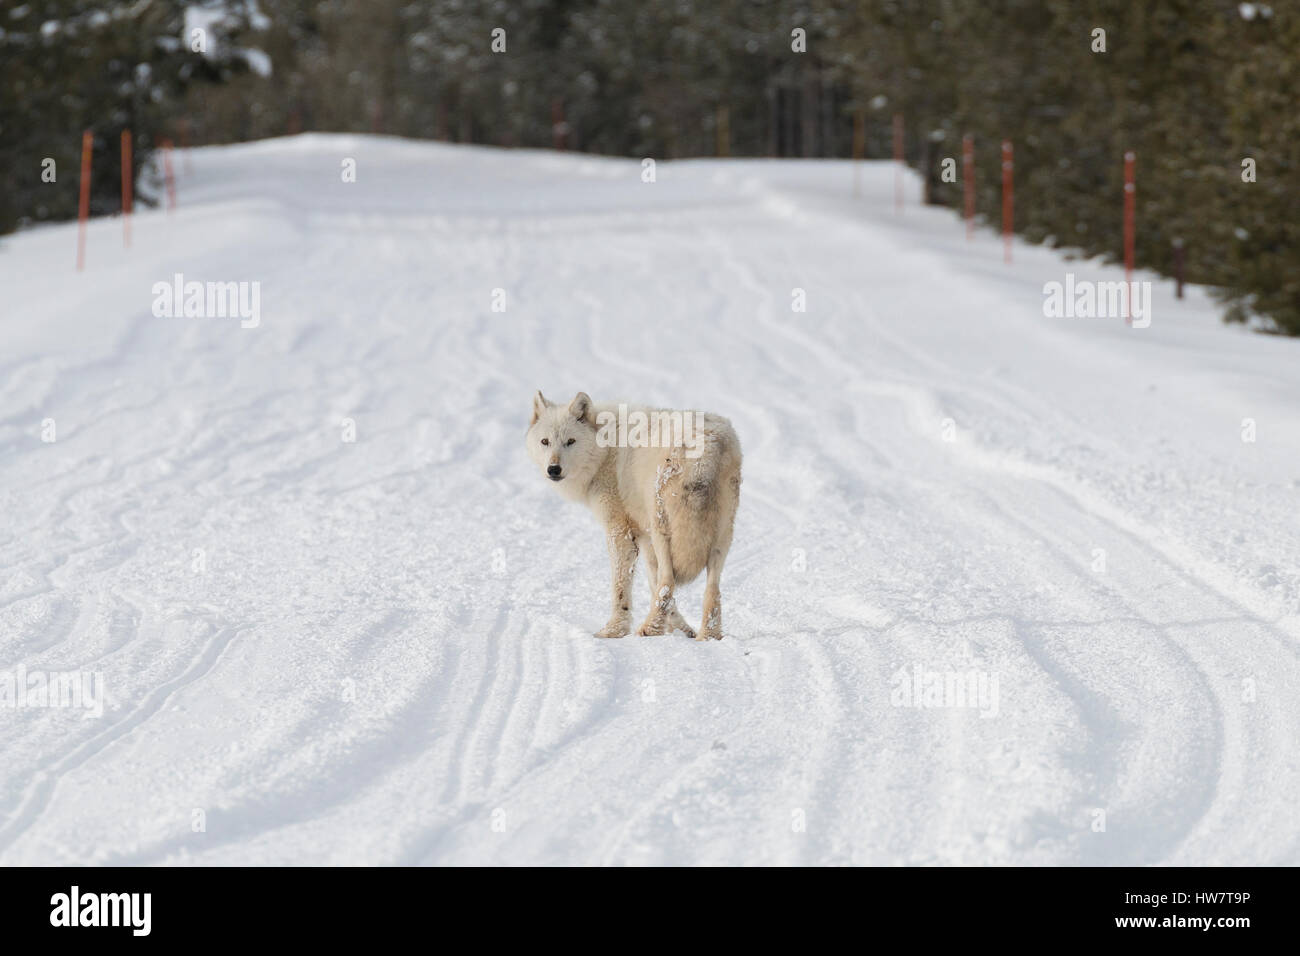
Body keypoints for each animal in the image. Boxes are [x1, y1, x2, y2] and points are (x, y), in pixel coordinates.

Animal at [525, 390, 743, 642]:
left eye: (570, 441)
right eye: (545, 442)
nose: (553, 469)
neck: (604, 450)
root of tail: (706, 447)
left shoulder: (620, 532)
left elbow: (622, 586)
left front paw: (614, 631)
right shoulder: (644, 537)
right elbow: (652, 583)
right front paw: (682, 630)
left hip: (663, 531)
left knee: (668, 581)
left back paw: (649, 629)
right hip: (721, 537)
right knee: (711, 589)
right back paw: (708, 636)